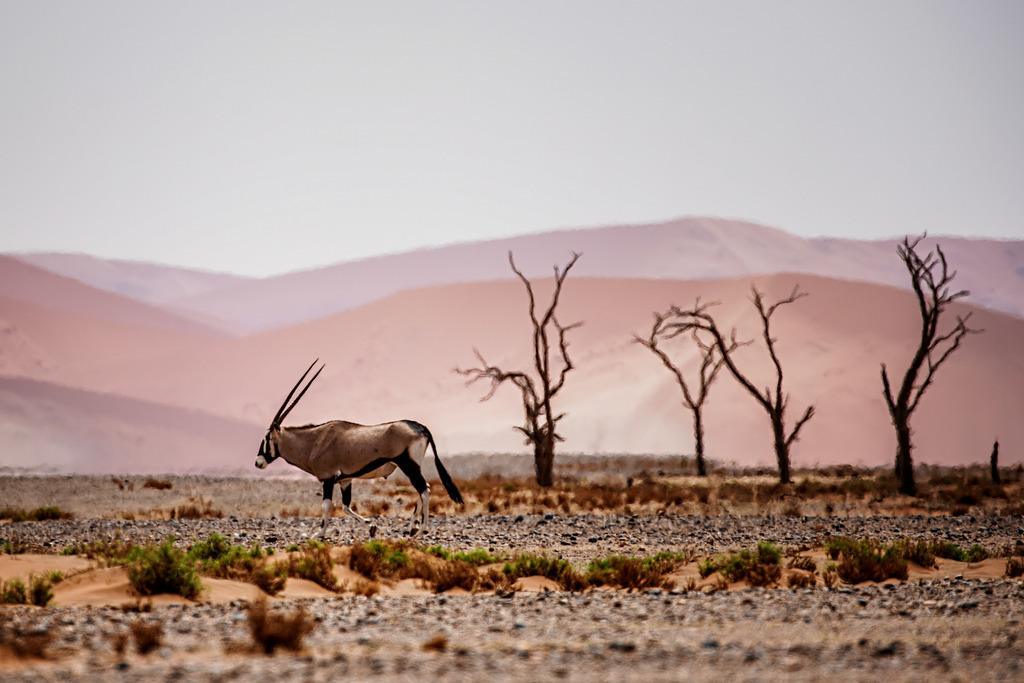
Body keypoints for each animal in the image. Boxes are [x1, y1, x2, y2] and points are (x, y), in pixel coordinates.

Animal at [254, 360, 464, 538]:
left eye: (267, 438)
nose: (258, 462)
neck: (314, 441)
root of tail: (421, 427)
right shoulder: (345, 480)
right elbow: (346, 506)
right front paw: (371, 527)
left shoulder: (328, 479)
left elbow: (326, 505)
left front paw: (320, 534)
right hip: (412, 466)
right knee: (423, 489)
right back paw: (413, 527)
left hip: (408, 464)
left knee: (424, 490)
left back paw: (422, 530)